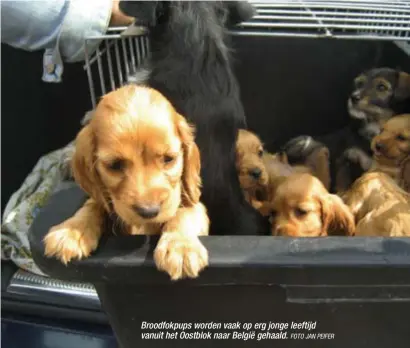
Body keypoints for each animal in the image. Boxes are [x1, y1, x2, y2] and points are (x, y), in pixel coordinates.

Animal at [44, 85, 210, 282]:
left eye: (169, 158)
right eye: (115, 165)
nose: (149, 211)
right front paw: (72, 230)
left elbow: (185, 212)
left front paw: (181, 247)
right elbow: (93, 204)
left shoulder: (193, 203)